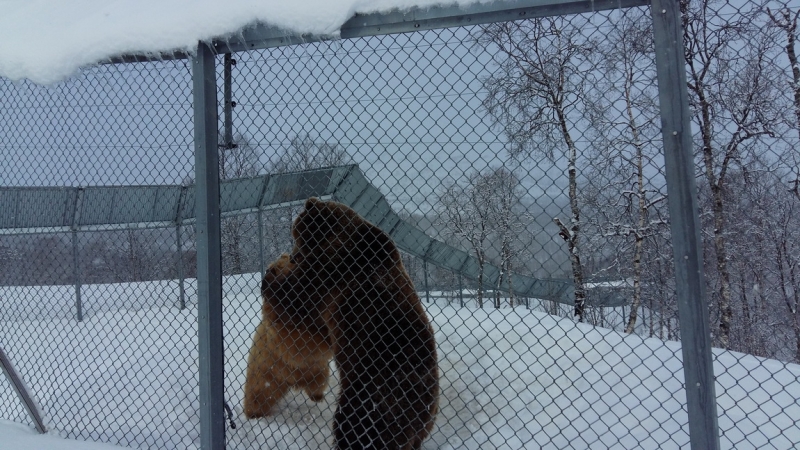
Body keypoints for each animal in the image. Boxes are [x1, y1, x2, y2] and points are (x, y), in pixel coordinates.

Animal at [244, 199, 444, 450]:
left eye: (297, 234)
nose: (293, 256)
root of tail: (424, 415)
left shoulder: (333, 277)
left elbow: (298, 297)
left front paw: (275, 279)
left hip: (374, 392)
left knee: (357, 427)